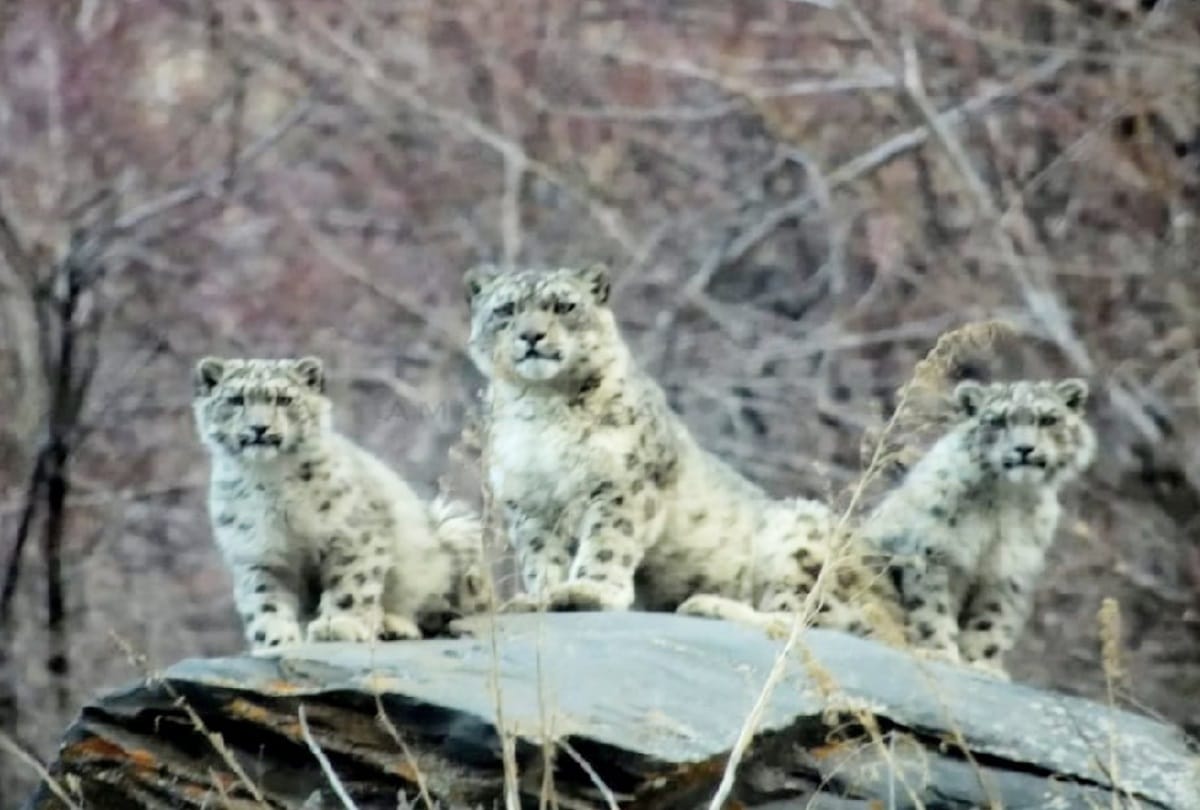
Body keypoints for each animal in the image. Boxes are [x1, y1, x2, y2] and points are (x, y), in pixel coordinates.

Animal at [192, 356, 490, 652]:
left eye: (284, 400)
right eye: (236, 400)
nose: (259, 428)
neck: (269, 478)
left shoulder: (353, 535)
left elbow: (350, 584)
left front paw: (338, 626)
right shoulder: (257, 552)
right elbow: (264, 598)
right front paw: (275, 639)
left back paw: (394, 625)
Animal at [464, 263, 898, 637]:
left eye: (564, 306)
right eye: (506, 309)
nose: (532, 336)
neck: (541, 406)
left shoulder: (622, 484)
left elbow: (608, 542)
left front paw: (588, 590)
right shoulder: (529, 503)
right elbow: (541, 556)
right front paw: (540, 595)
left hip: (801, 535)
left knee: (805, 621)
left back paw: (707, 605)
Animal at [859, 378, 1097, 678]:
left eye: (1048, 419)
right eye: (997, 421)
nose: (1024, 448)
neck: (1007, 498)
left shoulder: (1007, 570)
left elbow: (991, 619)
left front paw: (983, 665)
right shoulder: (934, 552)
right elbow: (932, 607)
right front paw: (941, 653)